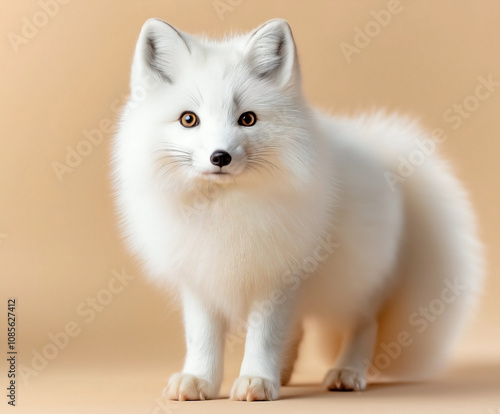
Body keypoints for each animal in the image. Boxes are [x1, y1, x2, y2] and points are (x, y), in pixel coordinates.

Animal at [111, 18, 482, 402]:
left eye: (247, 119)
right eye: (188, 119)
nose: (220, 157)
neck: (224, 210)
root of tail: (381, 149)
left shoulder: (278, 278)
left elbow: (264, 337)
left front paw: (256, 378)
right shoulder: (200, 276)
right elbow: (202, 338)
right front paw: (200, 379)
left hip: (349, 283)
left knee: (364, 324)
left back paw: (346, 372)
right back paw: (286, 372)